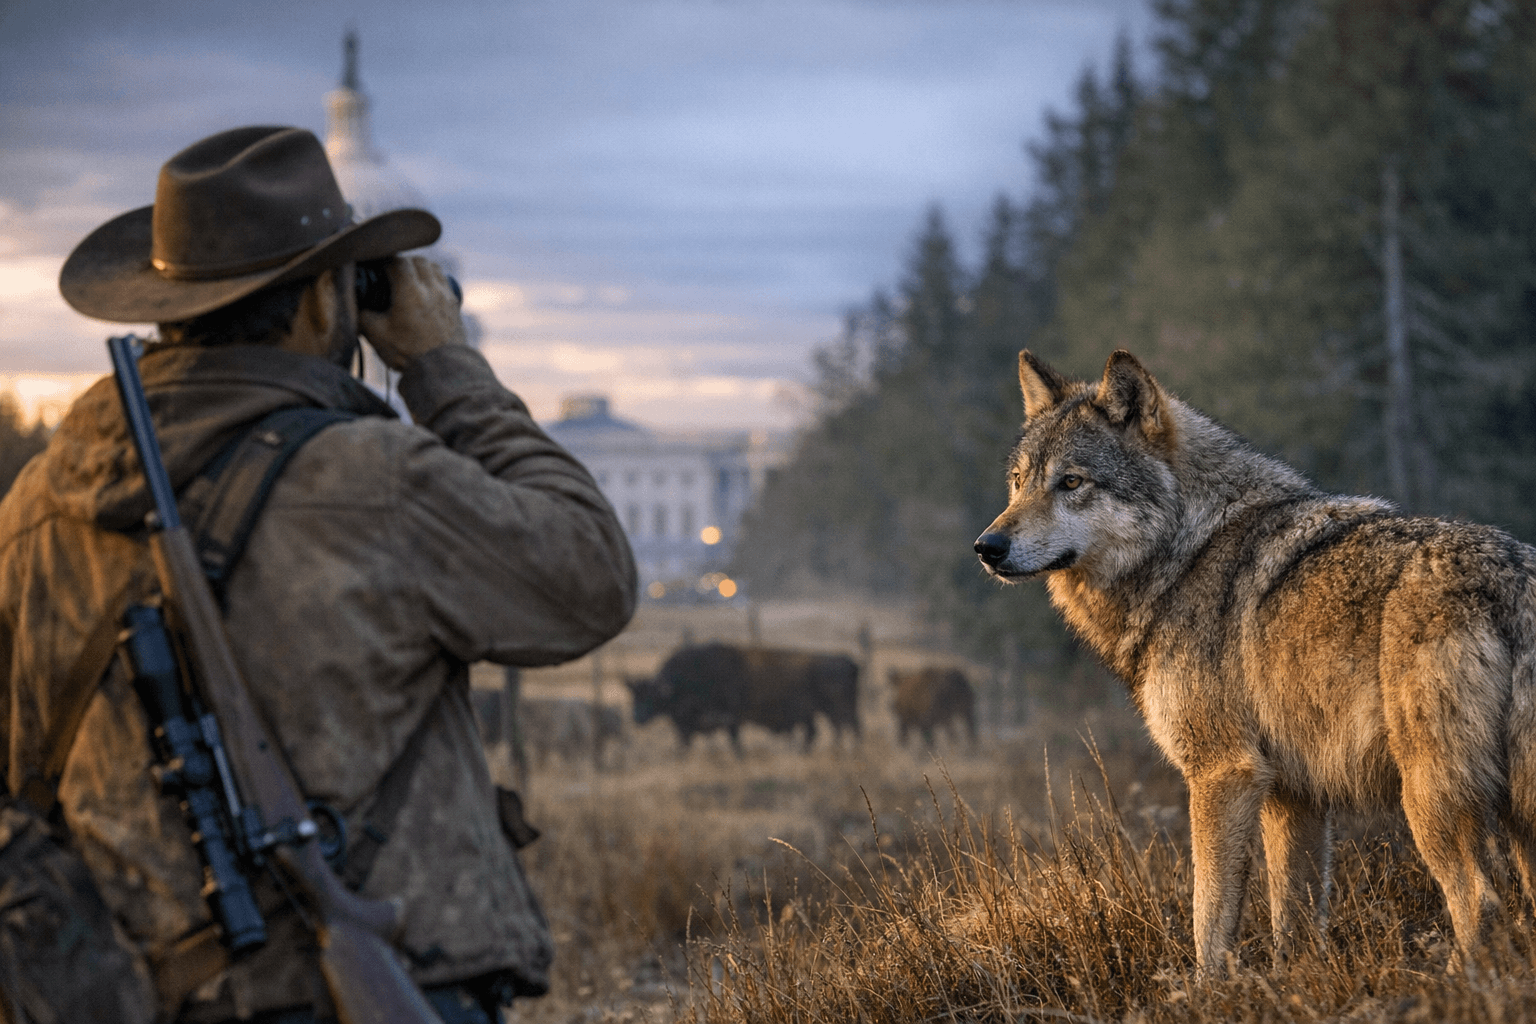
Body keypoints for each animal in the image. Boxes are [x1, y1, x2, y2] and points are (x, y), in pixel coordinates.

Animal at [975, 349, 1536, 976]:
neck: (1184, 550)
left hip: (1430, 804)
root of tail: (1511, 576)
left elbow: (1208, 917)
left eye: (1070, 482)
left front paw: (1207, 989)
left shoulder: (1224, 773)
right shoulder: (1296, 796)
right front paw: (1301, 984)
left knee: (1480, 903)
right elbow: (1294, 919)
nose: (987, 547)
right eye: (1018, 483)